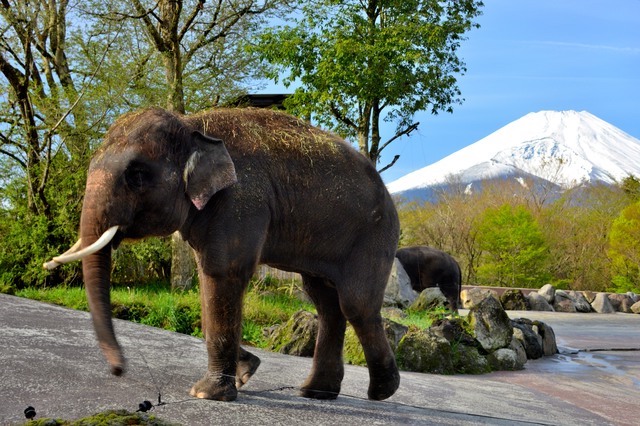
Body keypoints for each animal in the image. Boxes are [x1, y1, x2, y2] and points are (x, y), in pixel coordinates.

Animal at [46, 106, 400, 402]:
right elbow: (207, 281)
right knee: (326, 302)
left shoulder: (240, 201)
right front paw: (246, 372)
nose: (118, 370)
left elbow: (223, 272)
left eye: (137, 176)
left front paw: (207, 394)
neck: (192, 125)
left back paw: (382, 391)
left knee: (355, 304)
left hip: (374, 236)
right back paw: (317, 393)